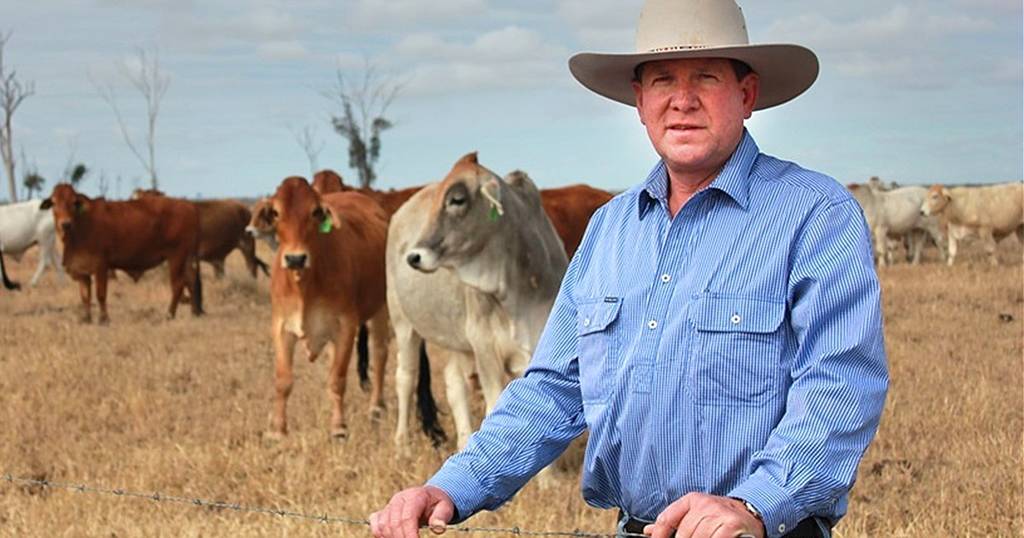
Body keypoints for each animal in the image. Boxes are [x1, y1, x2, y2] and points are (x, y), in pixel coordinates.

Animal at [41, 183, 201, 323]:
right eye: (54, 203)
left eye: (74, 202)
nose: (65, 224)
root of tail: (188, 206)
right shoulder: (82, 272)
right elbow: (85, 297)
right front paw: (86, 319)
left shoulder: (101, 267)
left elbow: (100, 294)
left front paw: (104, 319)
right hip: (185, 258)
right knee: (191, 280)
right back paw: (194, 313)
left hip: (176, 256)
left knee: (178, 285)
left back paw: (169, 314)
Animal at [264, 178, 395, 438]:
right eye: (275, 212)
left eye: (315, 212)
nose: (295, 259)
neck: (305, 283)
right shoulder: (281, 327)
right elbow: (283, 381)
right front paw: (278, 430)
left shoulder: (346, 326)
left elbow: (338, 378)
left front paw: (338, 427)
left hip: (380, 308)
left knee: (380, 353)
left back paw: (376, 407)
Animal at [387, 154, 569, 448]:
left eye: (457, 199)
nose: (414, 256)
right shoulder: (484, 348)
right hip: (403, 322)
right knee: (405, 376)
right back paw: (402, 443)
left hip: (457, 342)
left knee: (454, 383)